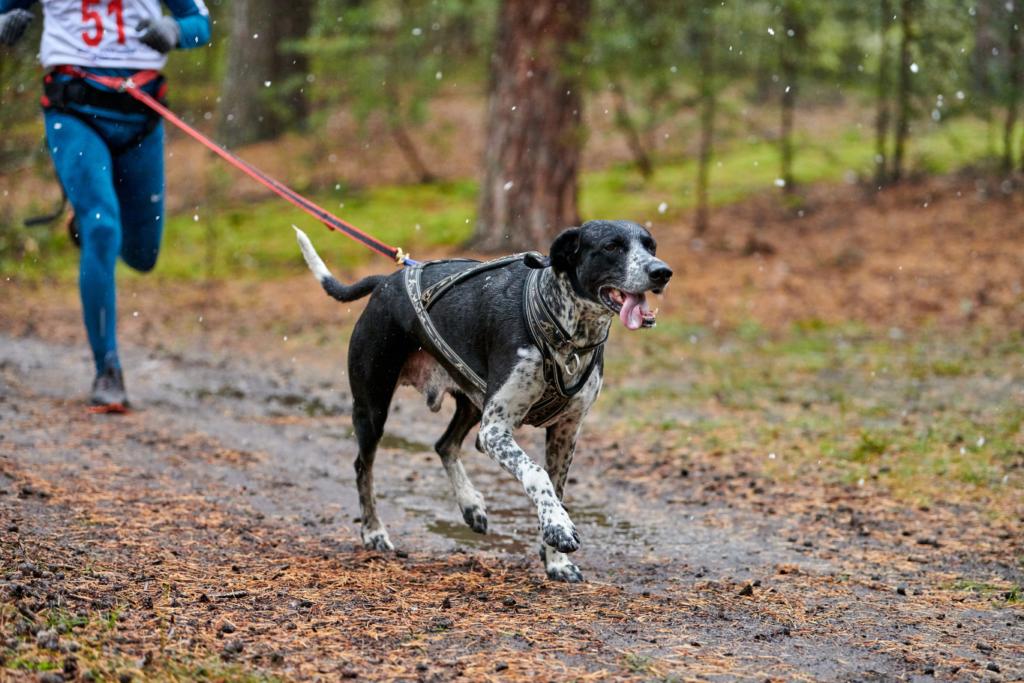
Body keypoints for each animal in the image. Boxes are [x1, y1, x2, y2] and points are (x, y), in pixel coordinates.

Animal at [294, 220, 671, 581]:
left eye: (651, 245)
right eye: (611, 246)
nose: (662, 271)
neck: (565, 333)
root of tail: (386, 281)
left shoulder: (565, 432)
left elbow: (557, 490)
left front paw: (556, 561)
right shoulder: (495, 431)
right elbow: (538, 476)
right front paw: (559, 527)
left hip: (472, 403)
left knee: (444, 445)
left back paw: (470, 504)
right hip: (373, 408)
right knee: (363, 468)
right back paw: (374, 532)